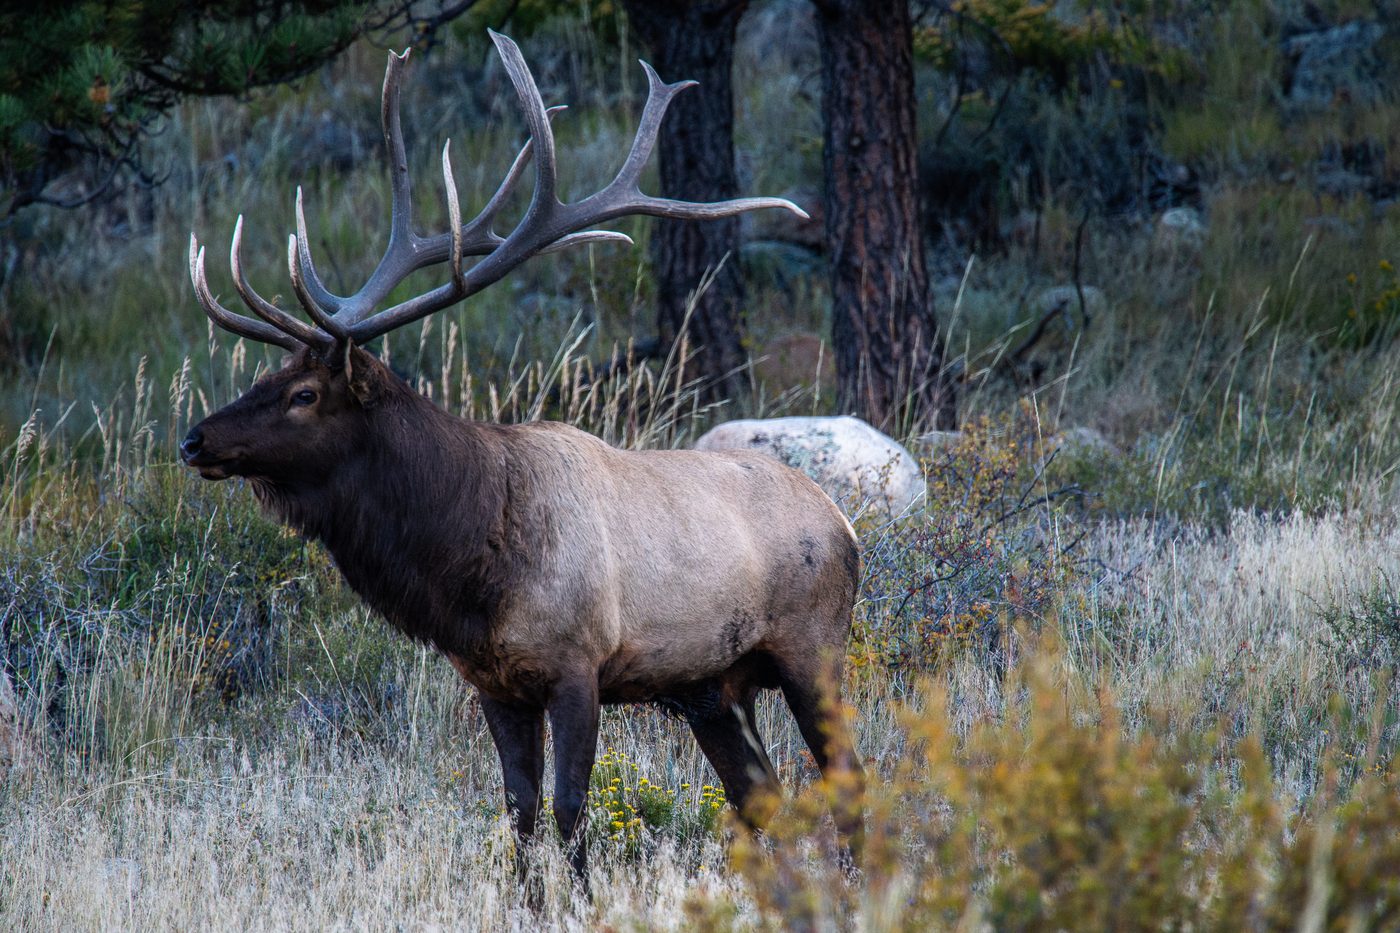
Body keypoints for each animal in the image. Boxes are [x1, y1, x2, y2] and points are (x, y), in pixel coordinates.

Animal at [179, 32, 864, 880]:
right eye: (265, 377)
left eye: (305, 392)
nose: (195, 438)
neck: (469, 565)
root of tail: (846, 523)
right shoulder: (494, 683)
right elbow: (521, 815)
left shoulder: (579, 664)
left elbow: (570, 813)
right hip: (713, 684)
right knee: (762, 794)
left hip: (815, 644)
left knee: (848, 777)